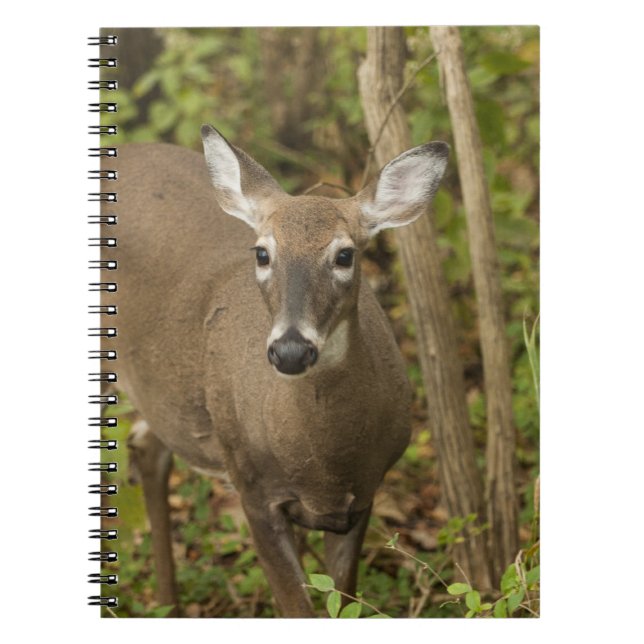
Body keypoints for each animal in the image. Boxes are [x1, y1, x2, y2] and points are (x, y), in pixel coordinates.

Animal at [103, 125, 448, 617]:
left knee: (149, 445)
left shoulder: (363, 496)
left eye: (345, 255)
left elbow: (342, 600)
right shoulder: (252, 489)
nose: (290, 351)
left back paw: (168, 603)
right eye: (263, 253)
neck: (323, 465)